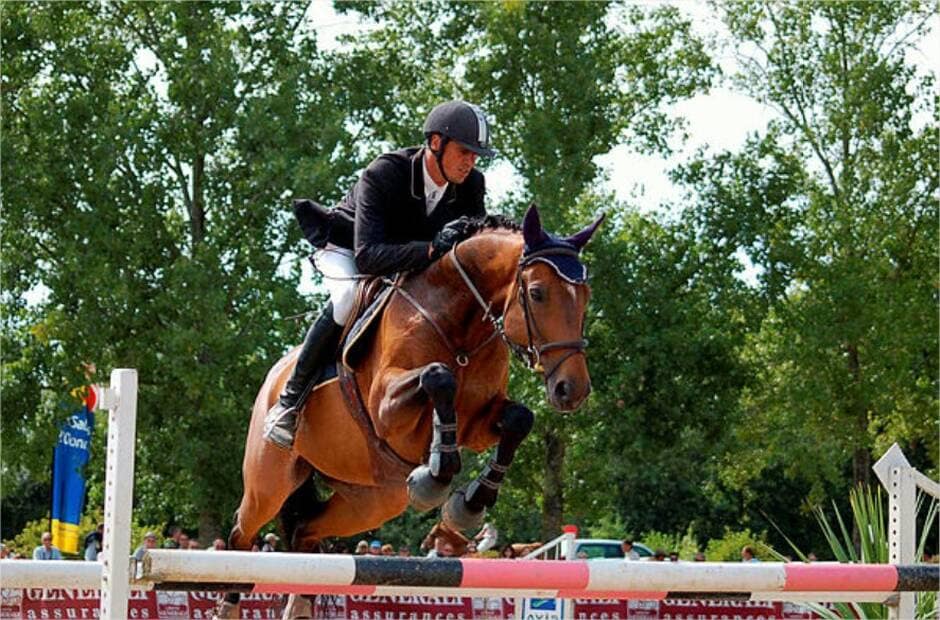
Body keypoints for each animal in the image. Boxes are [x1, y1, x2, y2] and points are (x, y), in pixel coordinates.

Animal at [224, 206, 600, 560]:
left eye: (586, 297)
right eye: (537, 293)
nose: (572, 389)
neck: (461, 329)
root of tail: (272, 379)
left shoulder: (477, 423)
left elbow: (519, 418)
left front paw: (471, 501)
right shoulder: (386, 410)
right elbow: (438, 376)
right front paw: (434, 478)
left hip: (373, 500)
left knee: (305, 530)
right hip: (268, 483)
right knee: (242, 531)